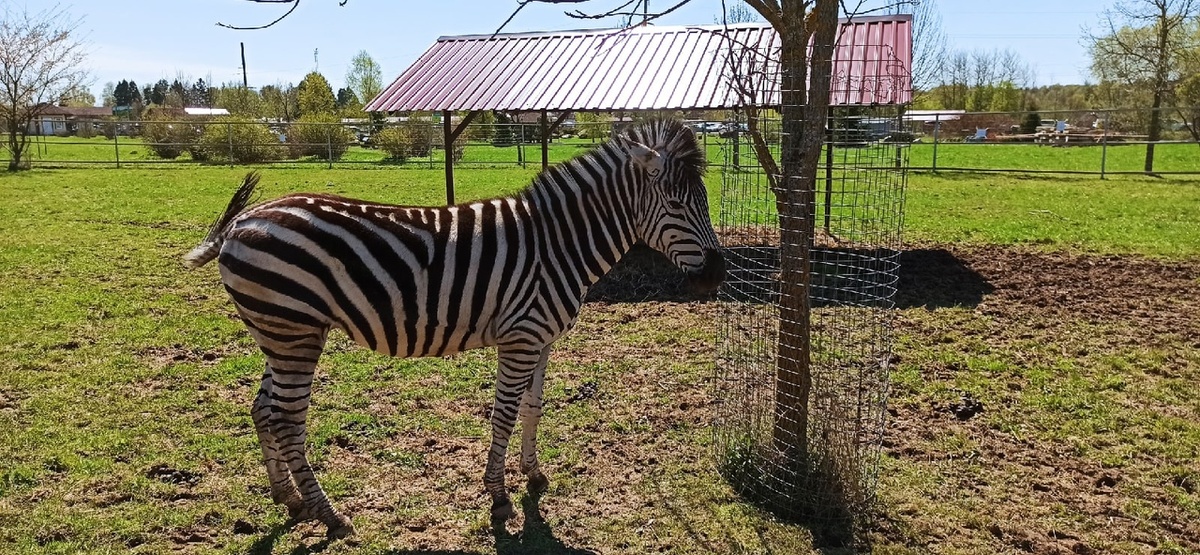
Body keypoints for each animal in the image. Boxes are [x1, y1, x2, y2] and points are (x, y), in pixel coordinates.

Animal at [183, 117, 724, 538]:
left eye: (703, 200)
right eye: (678, 205)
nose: (717, 276)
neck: (558, 245)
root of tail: (242, 222)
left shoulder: (542, 338)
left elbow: (533, 407)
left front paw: (534, 475)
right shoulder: (521, 337)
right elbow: (503, 415)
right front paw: (499, 498)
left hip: (280, 333)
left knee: (263, 409)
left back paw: (288, 499)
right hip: (294, 331)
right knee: (287, 419)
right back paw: (329, 515)